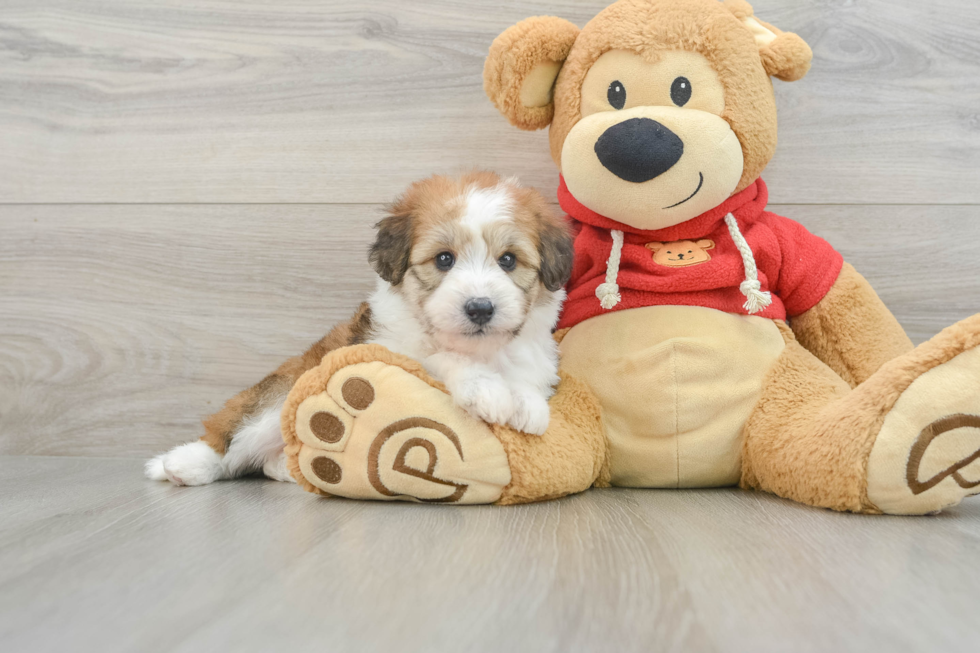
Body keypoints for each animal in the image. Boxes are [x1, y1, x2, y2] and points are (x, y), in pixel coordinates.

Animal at [146, 171, 576, 486]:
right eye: (444, 259)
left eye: (508, 260)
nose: (480, 308)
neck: (481, 350)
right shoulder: (390, 348)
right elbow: (441, 358)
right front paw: (486, 390)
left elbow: (528, 376)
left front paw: (527, 403)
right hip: (282, 394)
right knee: (231, 437)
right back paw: (183, 464)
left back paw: (290, 467)